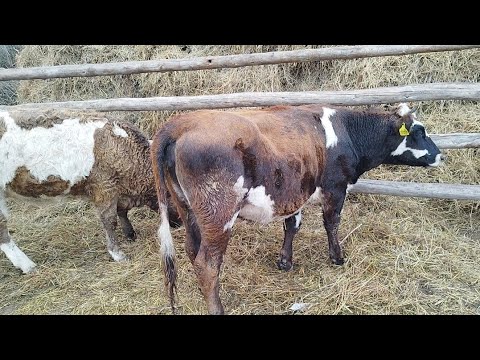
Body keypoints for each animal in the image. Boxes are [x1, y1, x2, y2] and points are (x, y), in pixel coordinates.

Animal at [0, 108, 180, 274]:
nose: (178, 224)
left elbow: (122, 212)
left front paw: (130, 234)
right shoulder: (104, 187)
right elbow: (110, 221)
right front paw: (117, 253)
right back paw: (27, 265)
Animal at [152, 102, 444, 314]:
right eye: (419, 132)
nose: (441, 155)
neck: (348, 131)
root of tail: (180, 123)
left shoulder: (295, 191)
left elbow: (291, 226)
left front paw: (285, 261)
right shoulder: (335, 187)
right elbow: (331, 223)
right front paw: (337, 258)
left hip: (187, 208)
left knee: (192, 250)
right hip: (219, 213)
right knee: (207, 263)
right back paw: (217, 308)